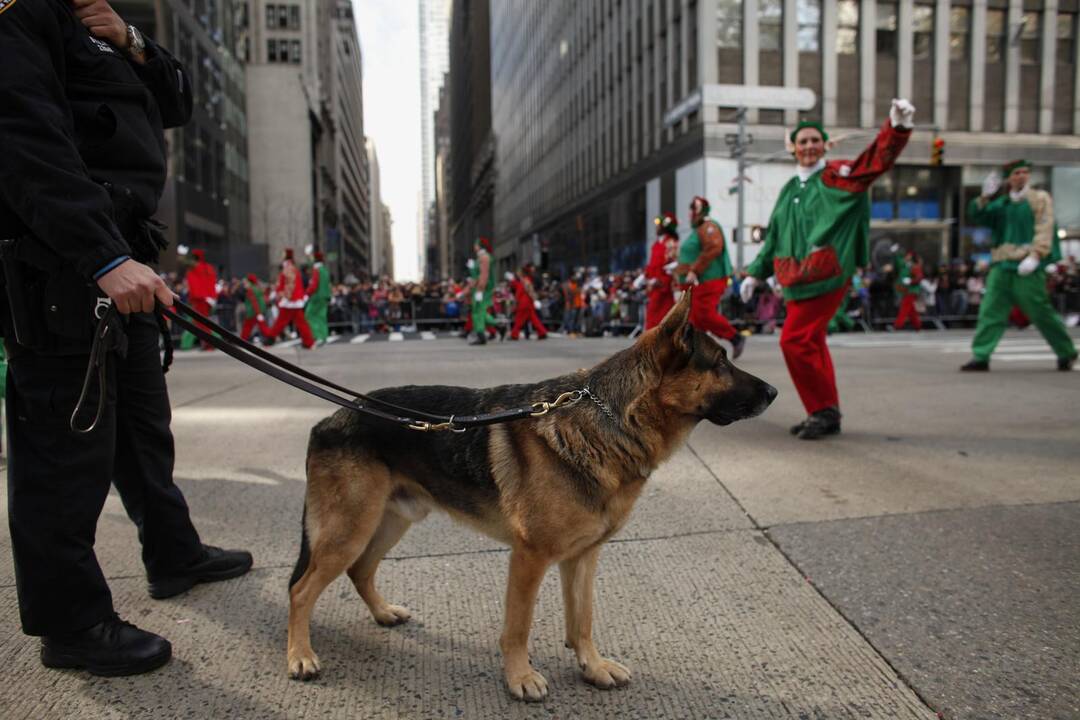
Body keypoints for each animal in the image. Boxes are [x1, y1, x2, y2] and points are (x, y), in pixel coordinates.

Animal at [287, 289, 777, 699]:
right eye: (719, 363)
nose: (774, 391)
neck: (614, 421)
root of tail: (330, 419)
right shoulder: (530, 558)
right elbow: (518, 627)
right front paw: (519, 678)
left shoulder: (582, 558)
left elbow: (582, 621)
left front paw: (593, 667)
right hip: (349, 530)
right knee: (301, 590)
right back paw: (300, 655)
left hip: (389, 522)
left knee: (360, 571)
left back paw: (382, 613)